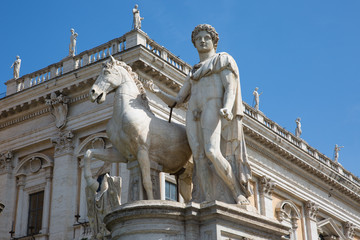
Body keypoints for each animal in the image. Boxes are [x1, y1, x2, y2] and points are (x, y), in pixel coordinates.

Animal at [86, 55, 194, 202]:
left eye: (106, 72)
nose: (93, 92)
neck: (124, 112)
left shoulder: (142, 151)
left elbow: (147, 182)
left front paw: (151, 202)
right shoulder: (122, 154)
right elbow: (89, 153)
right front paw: (93, 184)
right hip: (184, 174)